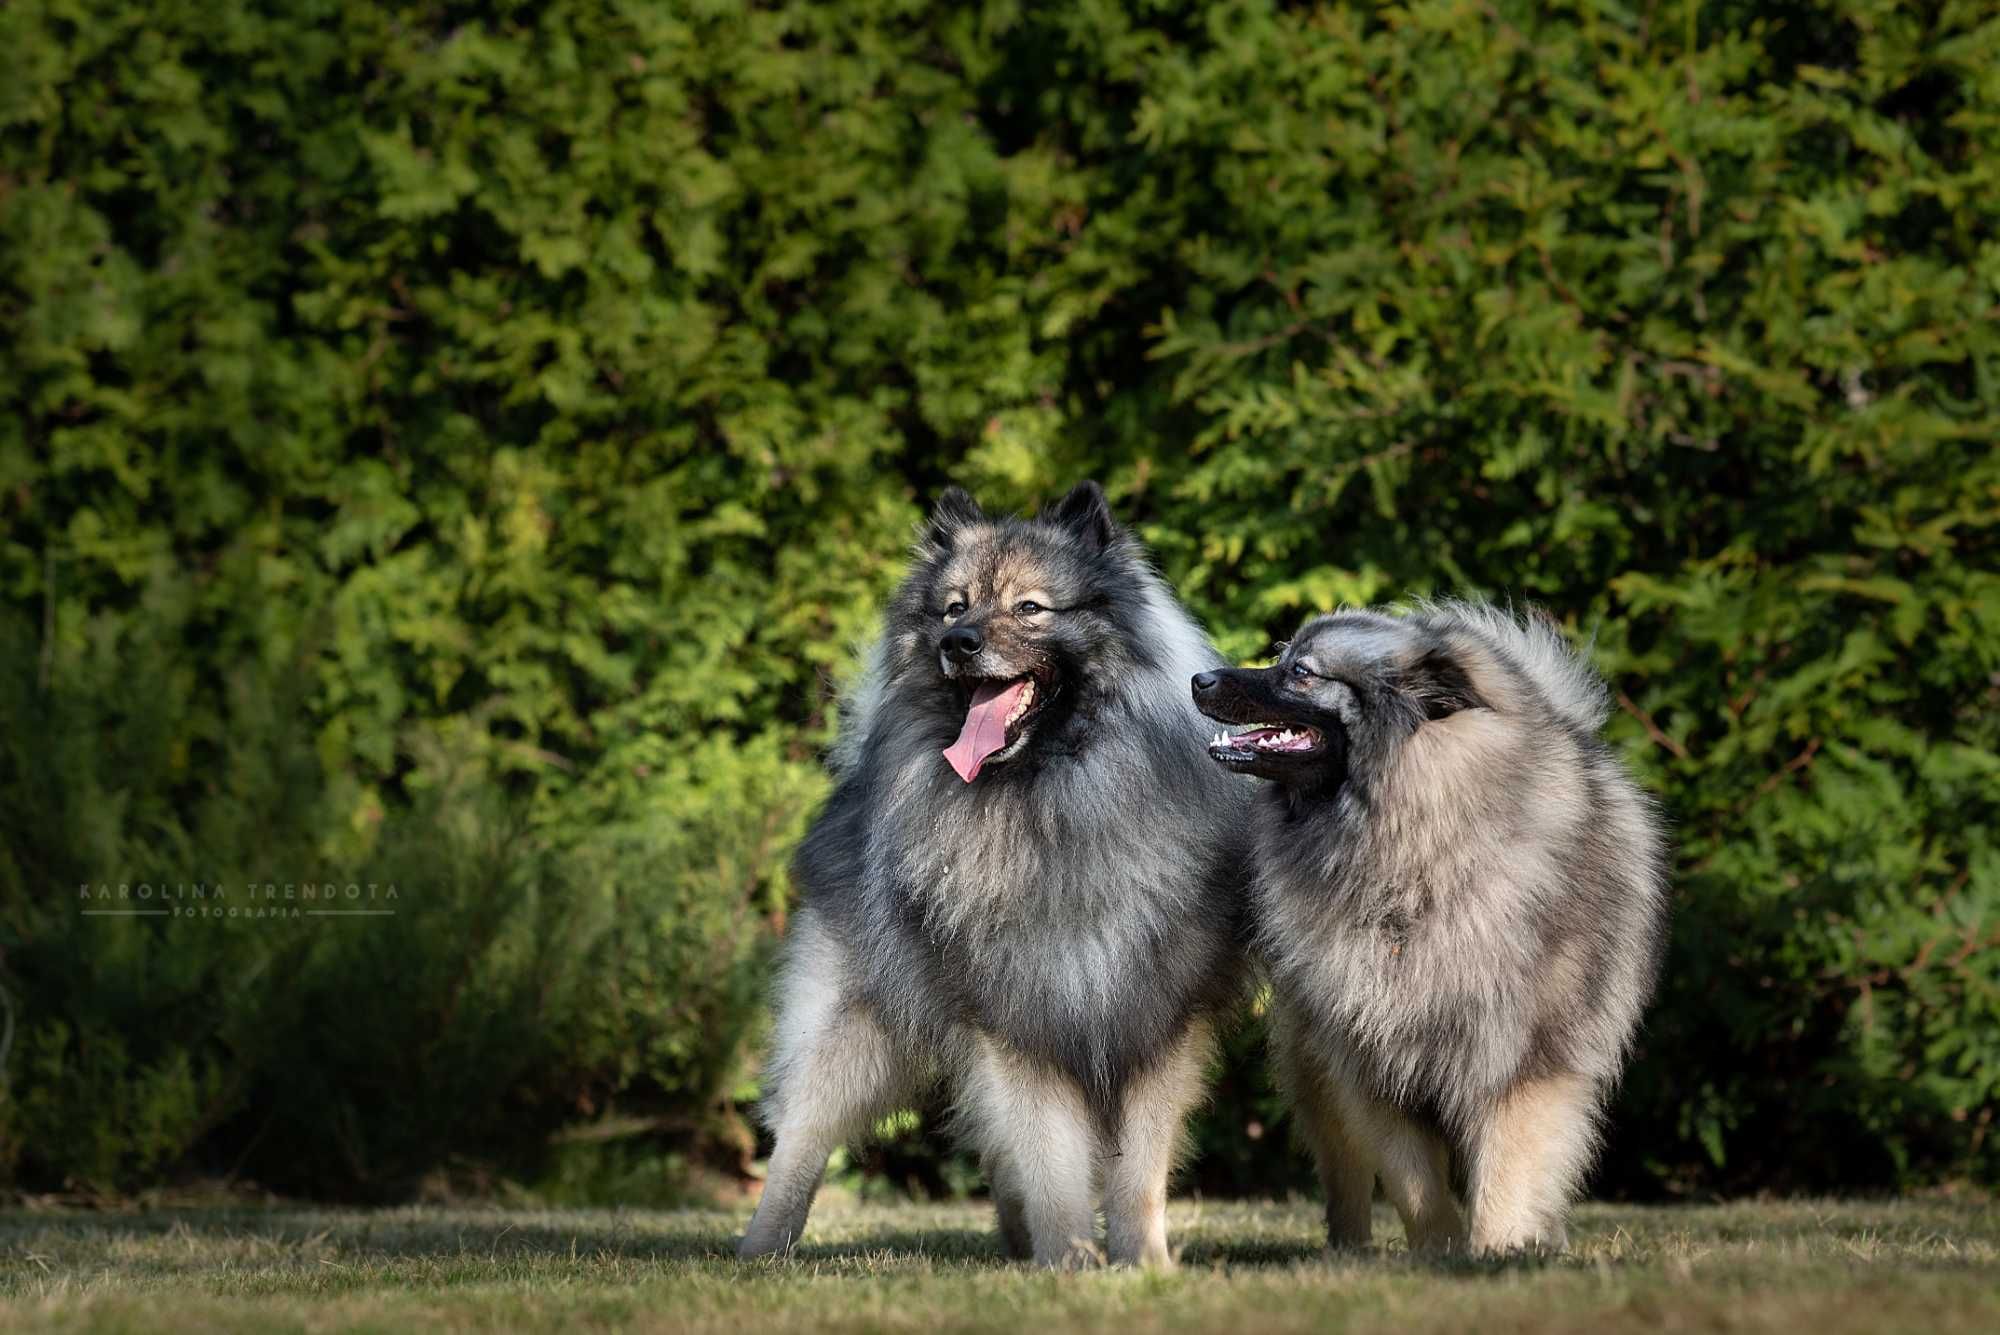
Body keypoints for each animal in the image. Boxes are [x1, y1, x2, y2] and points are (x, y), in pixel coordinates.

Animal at [744, 481, 1240, 1271]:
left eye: (1029, 607)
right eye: (954, 608)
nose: (958, 644)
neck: (1049, 803)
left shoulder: (1156, 1023)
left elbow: (1137, 1174)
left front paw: (1142, 1266)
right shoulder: (1015, 1024)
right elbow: (1051, 1158)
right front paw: (1070, 1260)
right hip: (856, 1019)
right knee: (803, 1130)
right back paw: (762, 1247)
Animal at [1184, 603, 1672, 1255]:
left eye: (1301, 673)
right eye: (1282, 657)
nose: (1200, 680)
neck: (1414, 858)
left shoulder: (1523, 1064)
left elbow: (1509, 1175)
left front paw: (1499, 1254)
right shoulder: (1373, 1066)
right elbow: (1417, 1187)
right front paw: (1439, 1254)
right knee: (1345, 1177)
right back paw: (1349, 1252)